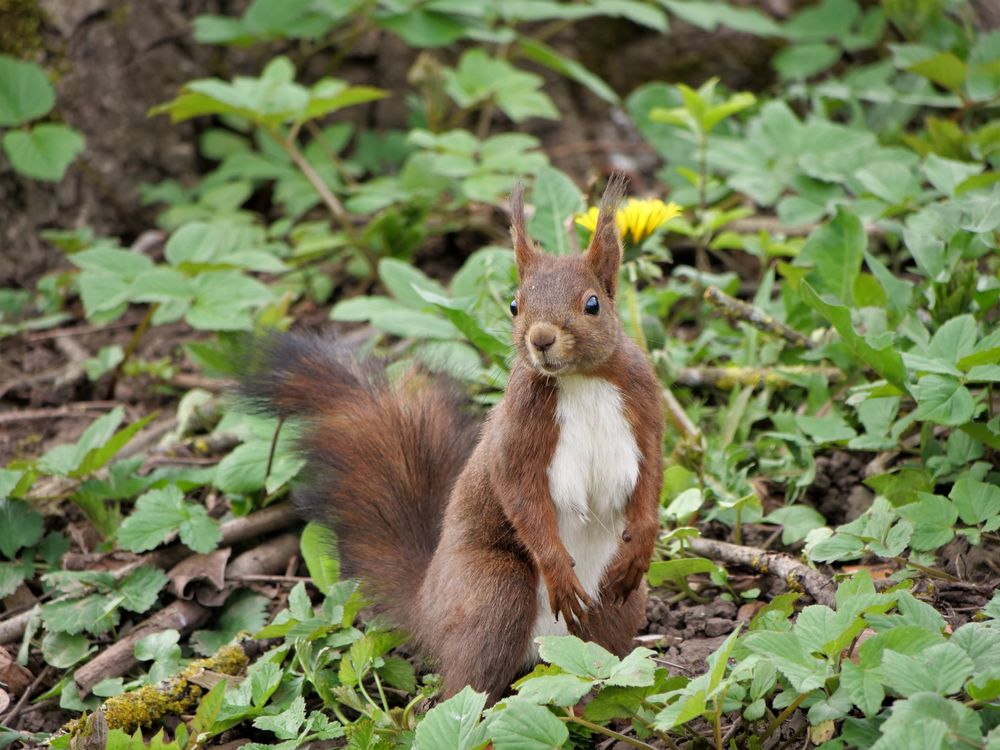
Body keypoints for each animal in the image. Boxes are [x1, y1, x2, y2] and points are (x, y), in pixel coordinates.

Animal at [242, 175, 664, 704]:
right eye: (514, 305)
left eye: (593, 304)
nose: (541, 338)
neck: (580, 380)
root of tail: (428, 604)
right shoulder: (517, 434)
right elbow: (519, 493)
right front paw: (557, 567)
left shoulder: (645, 408)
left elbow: (652, 476)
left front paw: (644, 539)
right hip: (492, 592)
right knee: (465, 686)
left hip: (615, 603)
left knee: (597, 661)